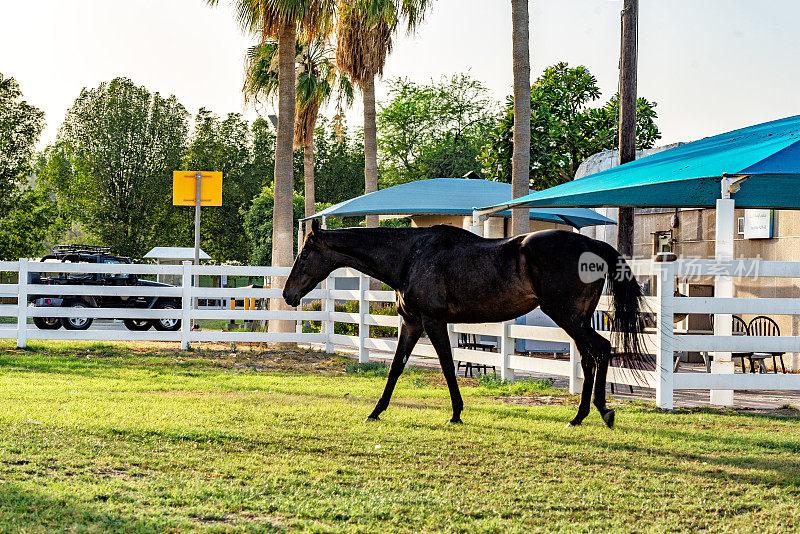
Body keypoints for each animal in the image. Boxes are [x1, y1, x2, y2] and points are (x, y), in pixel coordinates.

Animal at [284, 220, 648, 430]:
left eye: (303, 255)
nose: (288, 294)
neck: (411, 256)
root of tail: (592, 244)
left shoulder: (433, 322)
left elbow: (447, 366)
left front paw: (456, 413)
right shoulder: (412, 323)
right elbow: (396, 368)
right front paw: (376, 411)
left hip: (568, 316)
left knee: (600, 350)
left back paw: (599, 412)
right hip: (577, 319)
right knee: (590, 357)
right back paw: (583, 415)